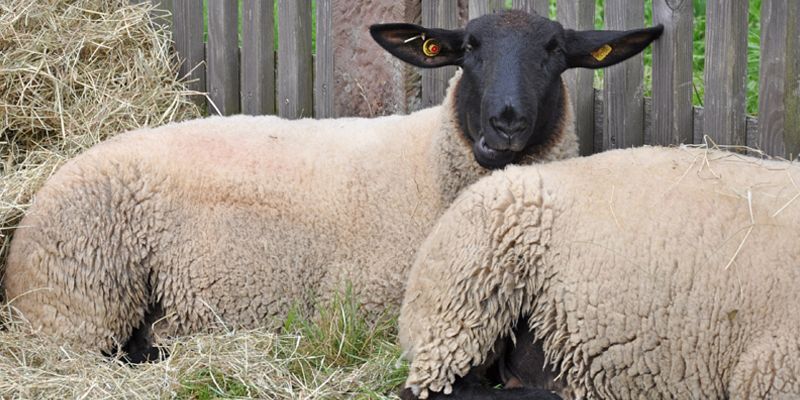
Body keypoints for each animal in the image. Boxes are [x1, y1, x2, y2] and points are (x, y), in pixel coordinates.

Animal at [1, 9, 664, 360]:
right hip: (82, 300)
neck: (428, 168)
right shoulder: (366, 304)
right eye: (468, 49)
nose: (503, 123)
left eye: (554, 51)